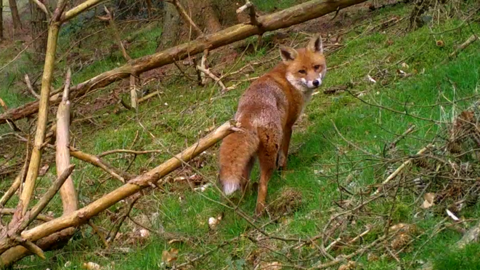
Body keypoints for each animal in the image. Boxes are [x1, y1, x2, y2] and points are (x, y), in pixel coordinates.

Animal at [218, 34, 326, 215]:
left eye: (316, 67)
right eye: (302, 71)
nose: (315, 82)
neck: (289, 79)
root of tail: (247, 113)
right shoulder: (287, 127)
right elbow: (283, 157)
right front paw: (285, 174)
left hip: (250, 159)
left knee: (243, 182)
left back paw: (245, 203)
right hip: (269, 149)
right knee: (263, 183)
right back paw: (260, 211)